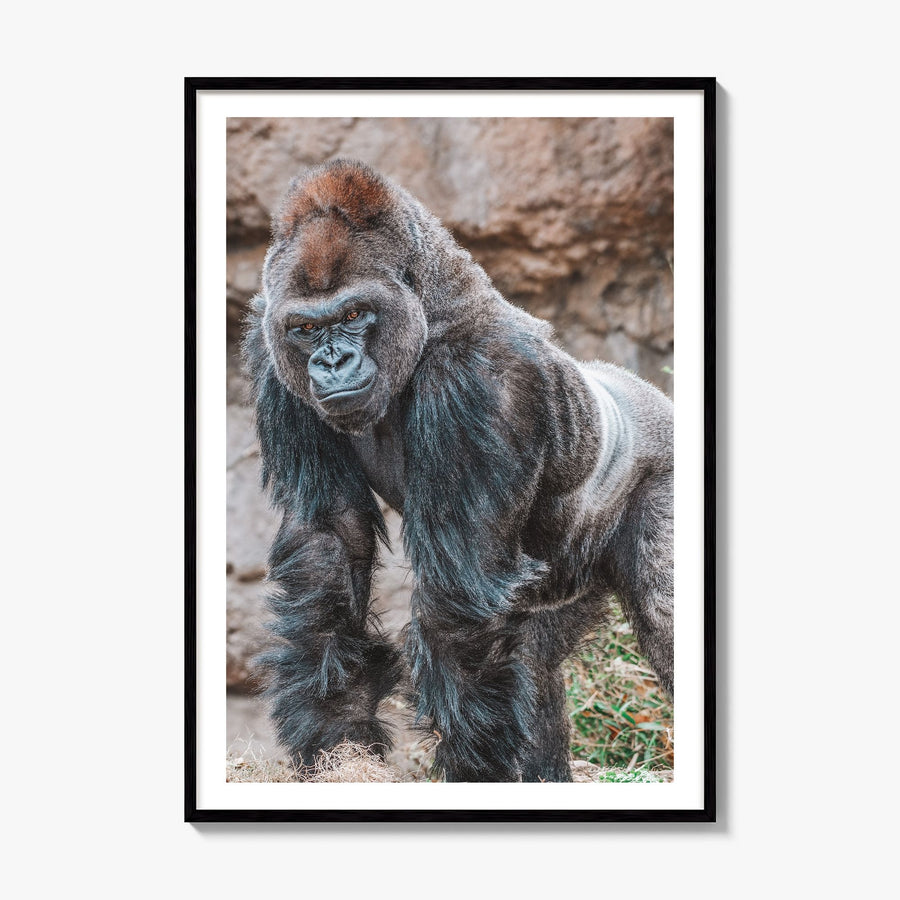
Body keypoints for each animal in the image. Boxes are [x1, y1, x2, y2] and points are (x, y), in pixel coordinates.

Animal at [242, 159, 673, 782]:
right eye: (305, 329)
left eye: (353, 315)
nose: (332, 361)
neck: (430, 307)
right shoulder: (273, 356)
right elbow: (329, 543)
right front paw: (338, 745)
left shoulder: (481, 378)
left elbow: (457, 594)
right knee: (533, 661)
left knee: (666, 617)